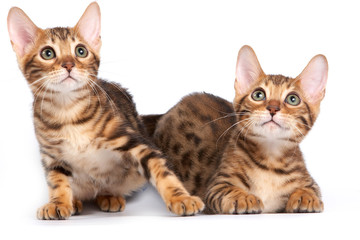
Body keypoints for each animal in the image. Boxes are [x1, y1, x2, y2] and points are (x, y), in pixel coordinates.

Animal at [7, 1, 204, 219]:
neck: (68, 111)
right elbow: (57, 181)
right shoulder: (52, 157)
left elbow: (163, 171)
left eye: (81, 51)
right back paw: (76, 201)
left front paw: (181, 198)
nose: (69, 64)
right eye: (47, 53)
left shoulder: (135, 143)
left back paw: (109, 196)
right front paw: (58, 202)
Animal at [142, 45, 328, 214]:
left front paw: (306, 196)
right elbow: (228, 191)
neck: (270, 161)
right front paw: (243, 197)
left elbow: (312, 189)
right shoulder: (216, 186)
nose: (273, 108)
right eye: (258, 95)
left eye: (293, 99)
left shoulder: (311, 182)